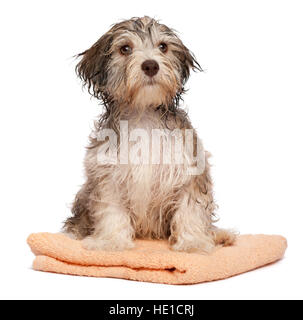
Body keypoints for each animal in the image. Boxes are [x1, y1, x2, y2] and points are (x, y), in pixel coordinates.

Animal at [63, 15, 236, 252]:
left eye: (163, 47)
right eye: (125, 49)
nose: (151, 65)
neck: (144, 114)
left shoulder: (190, 170)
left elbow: (190, 209)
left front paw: (193, 243)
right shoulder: (108, 178)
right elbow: (111, 211)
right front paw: (111, 241)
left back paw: (220, 236)